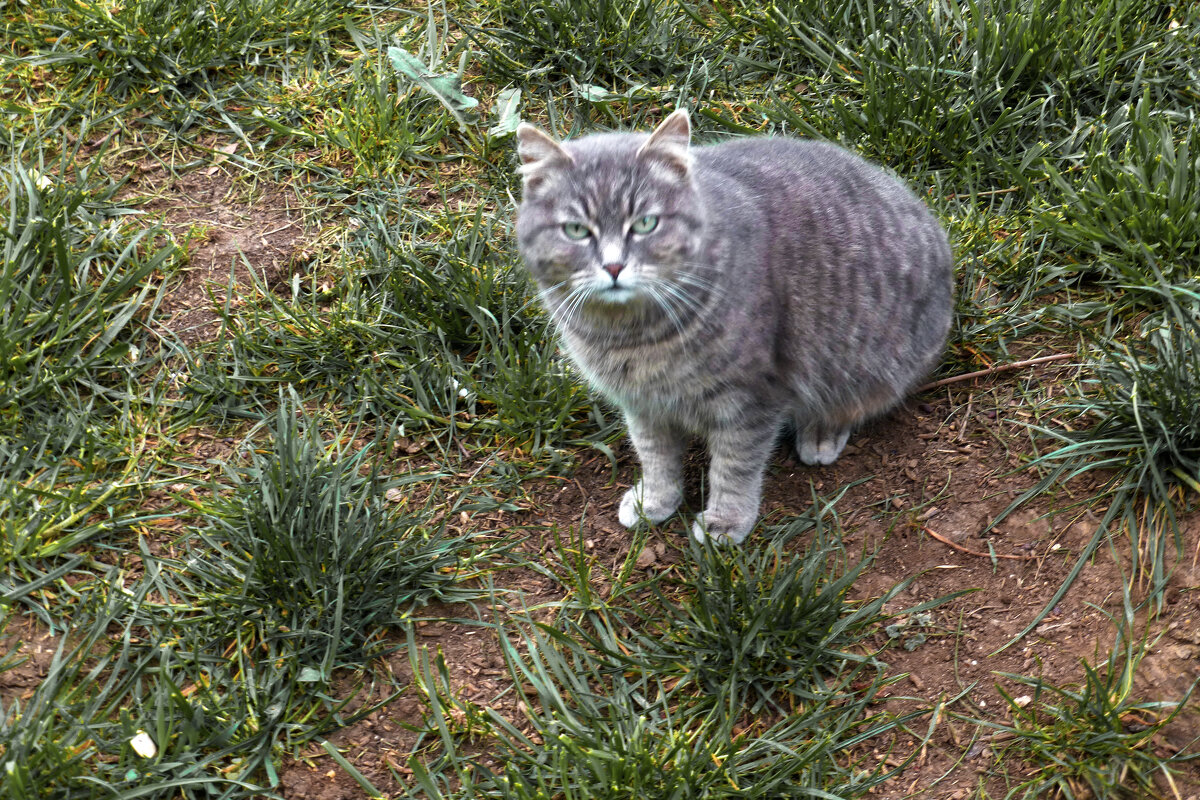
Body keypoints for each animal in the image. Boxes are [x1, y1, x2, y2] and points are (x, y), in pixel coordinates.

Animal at [511, 109, 950, 544]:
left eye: (647, 223)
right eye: (576, 230)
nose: (614, 266)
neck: (630, 336)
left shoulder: (752, 399)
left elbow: (735, 466)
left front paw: (725, 520)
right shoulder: (642, 404)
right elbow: (654, 456)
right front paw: (655, 500)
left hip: (863, 363)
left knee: (852, 401)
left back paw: (821, 433)